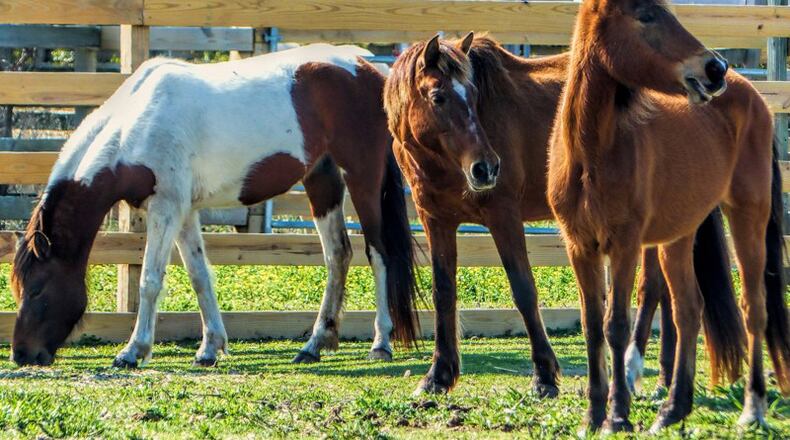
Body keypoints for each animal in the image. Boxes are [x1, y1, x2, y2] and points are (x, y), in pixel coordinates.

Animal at [10, 44, 421, 368]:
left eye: (37, 290)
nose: (21, 354)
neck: (136, 125)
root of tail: (369, 67)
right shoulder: (184, 212)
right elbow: (199, 276)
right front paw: (210, 348)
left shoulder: (166, 209)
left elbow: (149, 280)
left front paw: (133, 351)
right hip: (322, 179)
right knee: (338, 255)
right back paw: (315, 344)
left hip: (363, 176)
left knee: (379, 253)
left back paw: (381, 343)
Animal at [383, 33, 743, 398]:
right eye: (438, 97)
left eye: (473, 95)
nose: (486, 167)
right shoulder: (435, 220)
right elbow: (443, 292)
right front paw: (438, 375)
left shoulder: (503, 215)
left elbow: (524, 290)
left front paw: (544, 375)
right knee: (668, 294)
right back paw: (664, 379)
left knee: (654, 289)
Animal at [548, 0, 790, 433]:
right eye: (645, 16)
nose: (715, 69)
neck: (591, 155)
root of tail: (753, 97)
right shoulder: (580, 247)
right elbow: (592, 326)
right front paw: (593, 415)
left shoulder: (624, 245)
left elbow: (615, 325)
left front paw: (617, 416)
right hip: (677, 238)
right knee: (688, 310)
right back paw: (674, 408)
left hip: (748, 215)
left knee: (754, 308)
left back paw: (753, 408)